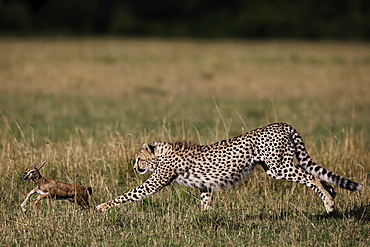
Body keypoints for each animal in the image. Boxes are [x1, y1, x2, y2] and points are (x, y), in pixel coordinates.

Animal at [94, 122, 362, 213]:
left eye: (139, 159)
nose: (134, 166)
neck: (163, 153)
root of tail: (281, 124)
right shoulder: (205, 185)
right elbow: (205, 203)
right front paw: (204, 218)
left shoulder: (154, 182)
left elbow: (128, 195)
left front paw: (102, 207)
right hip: (278, 164)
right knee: (319, 176)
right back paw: (332, 196)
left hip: (278, 167)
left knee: (312, 177)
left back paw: (328, 202)